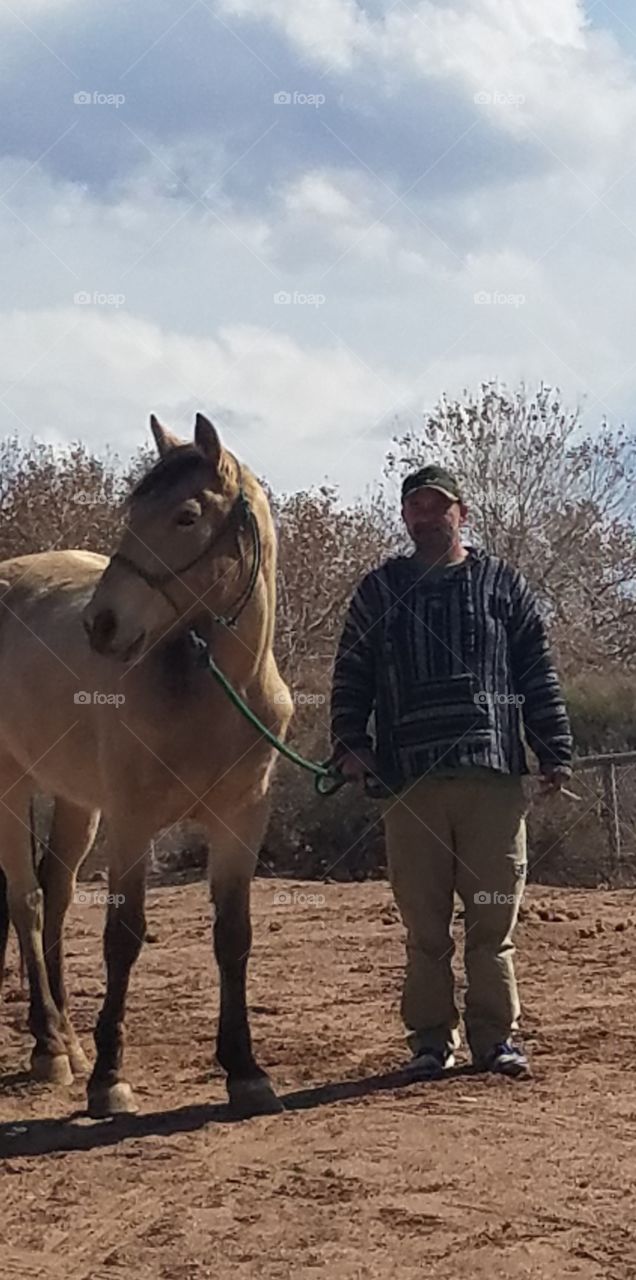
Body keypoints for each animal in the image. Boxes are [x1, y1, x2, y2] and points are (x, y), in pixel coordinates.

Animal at [0, 414, 293, 1116]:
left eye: (186, 516)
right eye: (132, 512)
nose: (99, 625)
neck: (208, 693)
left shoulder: (240, 824)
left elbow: (233, 935)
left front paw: (245, 1070)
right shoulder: (131, 824)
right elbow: (124, 936)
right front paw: (110, 1078)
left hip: (77, 801)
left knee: (54, 894)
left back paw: (68, 1037)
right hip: (10, 785)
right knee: (26, 900)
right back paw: (50, 1048)